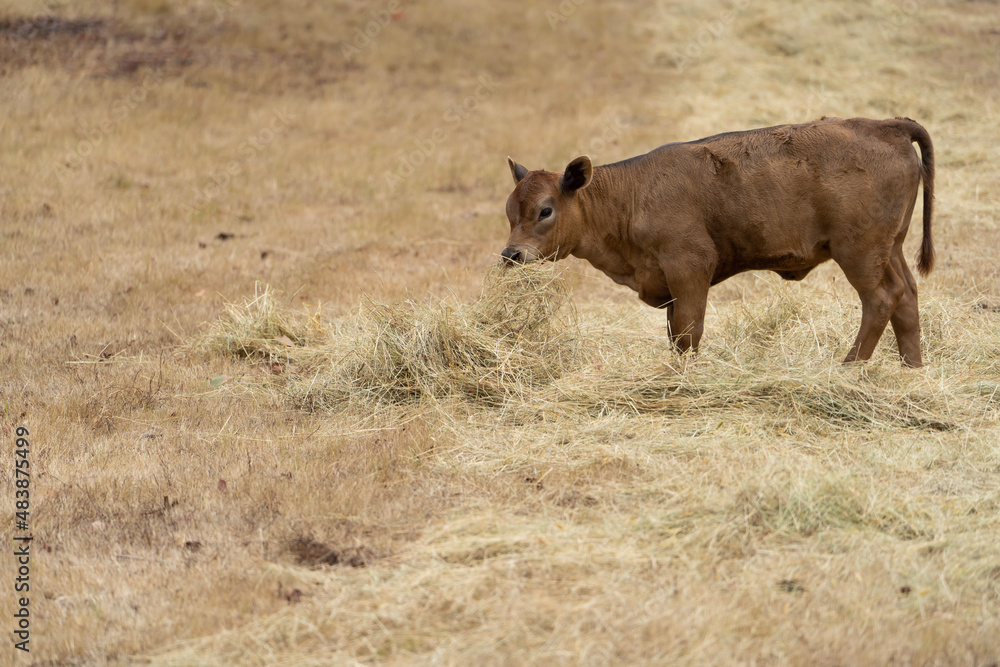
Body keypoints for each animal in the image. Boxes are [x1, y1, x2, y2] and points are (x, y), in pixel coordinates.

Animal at [501, 116, 935, 367]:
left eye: (544, 210)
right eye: (509, 211)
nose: (511, 254)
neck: (631, 195)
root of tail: (887, 125)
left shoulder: (689, 268)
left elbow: (688, 332)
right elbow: (676, 332)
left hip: (858, 253)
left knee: (881, 298)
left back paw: (849, 366)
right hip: (891, 249)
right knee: (907, 296)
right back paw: (911, 367)